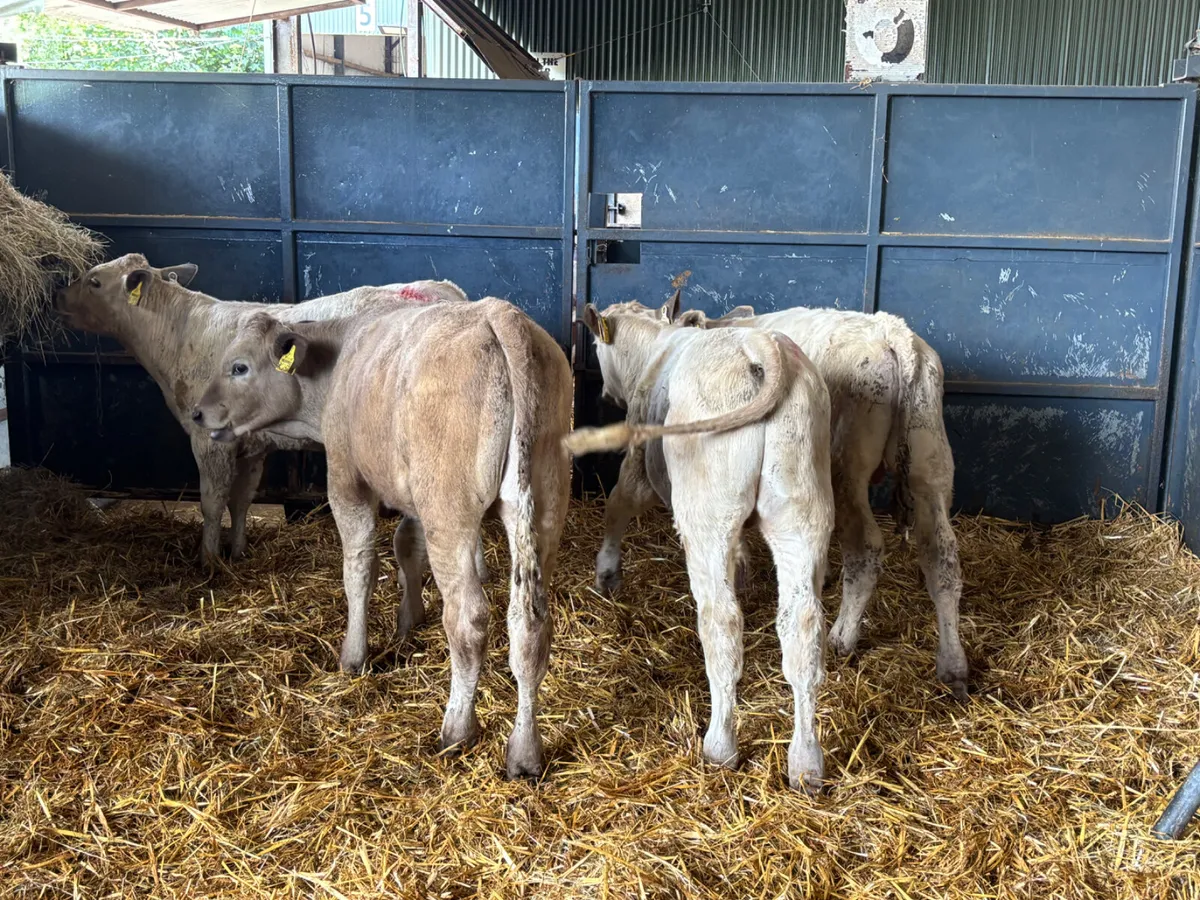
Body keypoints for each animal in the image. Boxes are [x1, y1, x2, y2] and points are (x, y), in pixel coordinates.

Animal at [55, 253, 482, 576]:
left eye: (94, 281)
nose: (58, 296)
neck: (178, 334)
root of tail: (444, 290)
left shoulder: (207, 440)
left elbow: (212, 502)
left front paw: (208, 561)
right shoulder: (251, 443)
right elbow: (241, 499)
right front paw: (238, 551)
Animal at [191, 299, 572, 779]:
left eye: (239, 366)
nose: (197, 413)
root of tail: (499, 315)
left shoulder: (345, 478)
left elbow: (360, 567)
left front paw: (354, 655)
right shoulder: (410, 494)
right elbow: (407, 546)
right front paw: (408, 621)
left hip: (450, 510)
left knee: (468, 621)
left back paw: (456, 729)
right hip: (544, 505)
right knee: (529, 624)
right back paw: (524, 752)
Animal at [564, 295, 835, 791]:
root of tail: (759, 348)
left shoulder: (637, 458)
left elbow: (618, 504)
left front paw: (607, 573)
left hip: (707, 512)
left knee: (722, 621)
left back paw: (720, 745)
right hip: (801, 512)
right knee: (802, 626)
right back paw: (806, 761)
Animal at [652, 298, 969, 702]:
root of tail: (892, 333)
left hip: (845, 463)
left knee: (866, 548)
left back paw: (843, 637)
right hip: (930, 460)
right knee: (941, 555)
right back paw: (953, 664)